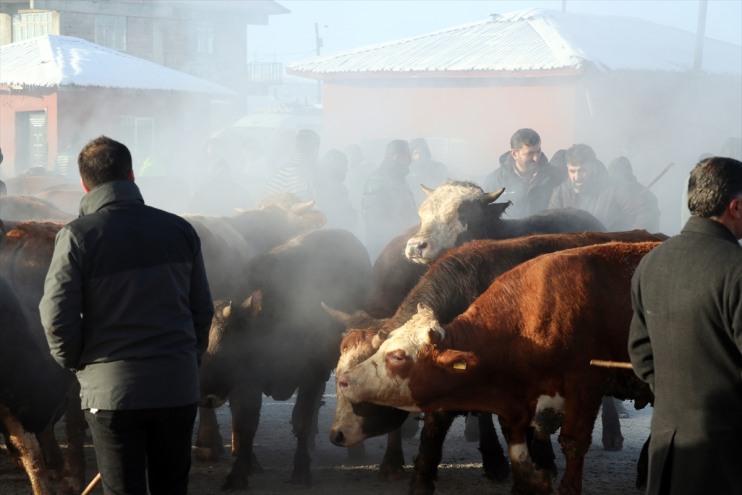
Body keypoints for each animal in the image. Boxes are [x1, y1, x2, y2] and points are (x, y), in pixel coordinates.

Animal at [199, 230, 374, 492]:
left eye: (228, 348)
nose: (205, 397)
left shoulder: (311, 375)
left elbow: (301, 420)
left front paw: (301, 470)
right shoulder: (249, 382)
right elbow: (246, 424)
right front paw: (238, 474)